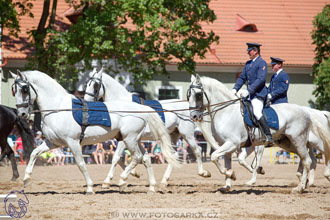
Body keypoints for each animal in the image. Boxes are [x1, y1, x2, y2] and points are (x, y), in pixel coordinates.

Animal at [10, 69, 179, 193]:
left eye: (24, 89)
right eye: (13, 90)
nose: (22, 114)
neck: (59, 108)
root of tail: (141, 109)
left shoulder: (73, 142)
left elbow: (81, 163)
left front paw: (91, 187)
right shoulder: (53, 142)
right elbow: (34, 153)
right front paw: (26, 180)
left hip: (130, 139)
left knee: (137, 157)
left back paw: (123, 180)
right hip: (135, 139)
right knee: (146, 158)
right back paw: (151, 187)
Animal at [187, 74, 328, 192]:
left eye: (198, 95)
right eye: (188, 96)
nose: (193, 116)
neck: (227, 112)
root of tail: (305, 111)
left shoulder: (234, 143)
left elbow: (214, 156)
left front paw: (233, 175)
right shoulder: (228, 145)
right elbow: (228, 162)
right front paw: (227, 183)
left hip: (300, 140)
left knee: (310, 160)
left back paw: (300, 187)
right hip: (288, 143)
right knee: (306, 159)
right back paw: (304, 182)